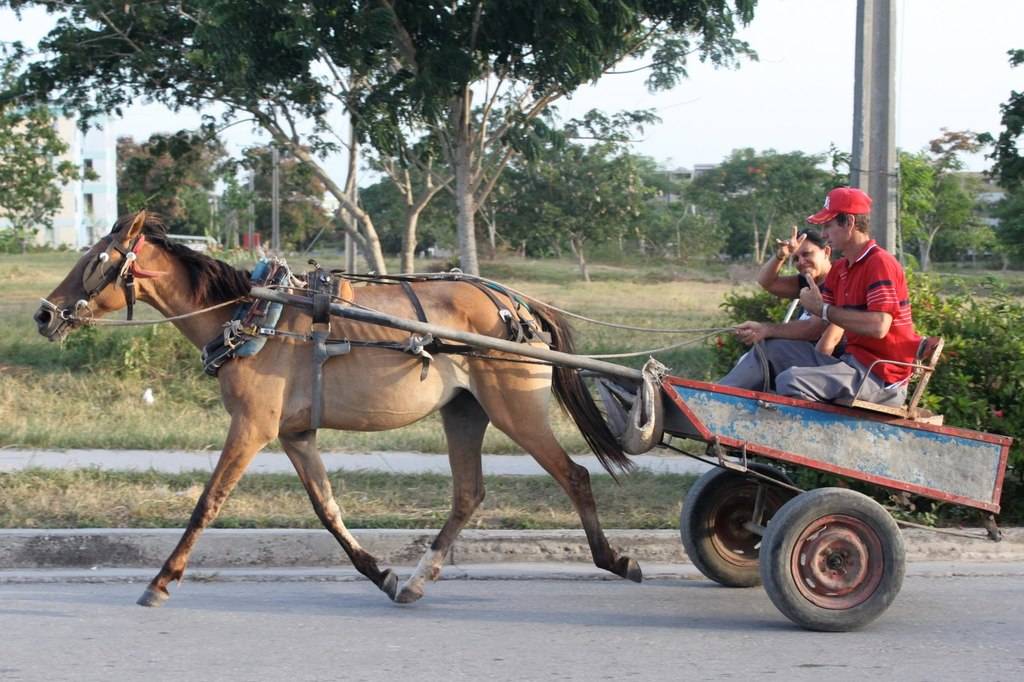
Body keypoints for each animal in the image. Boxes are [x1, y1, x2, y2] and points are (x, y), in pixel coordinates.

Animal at [33, 211, 643, 607]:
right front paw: (381, 574)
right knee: (468, 493)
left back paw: (615, 559)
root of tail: (519, 303)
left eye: (95, 261)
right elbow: (327, 510)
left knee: (574, 475)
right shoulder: (294, 434)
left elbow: (208, 502)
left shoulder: (252, 427)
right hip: (465, 411)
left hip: (516, 409)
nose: (44, 315)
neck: (252, 314)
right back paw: (417, 580)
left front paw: (162, 579)